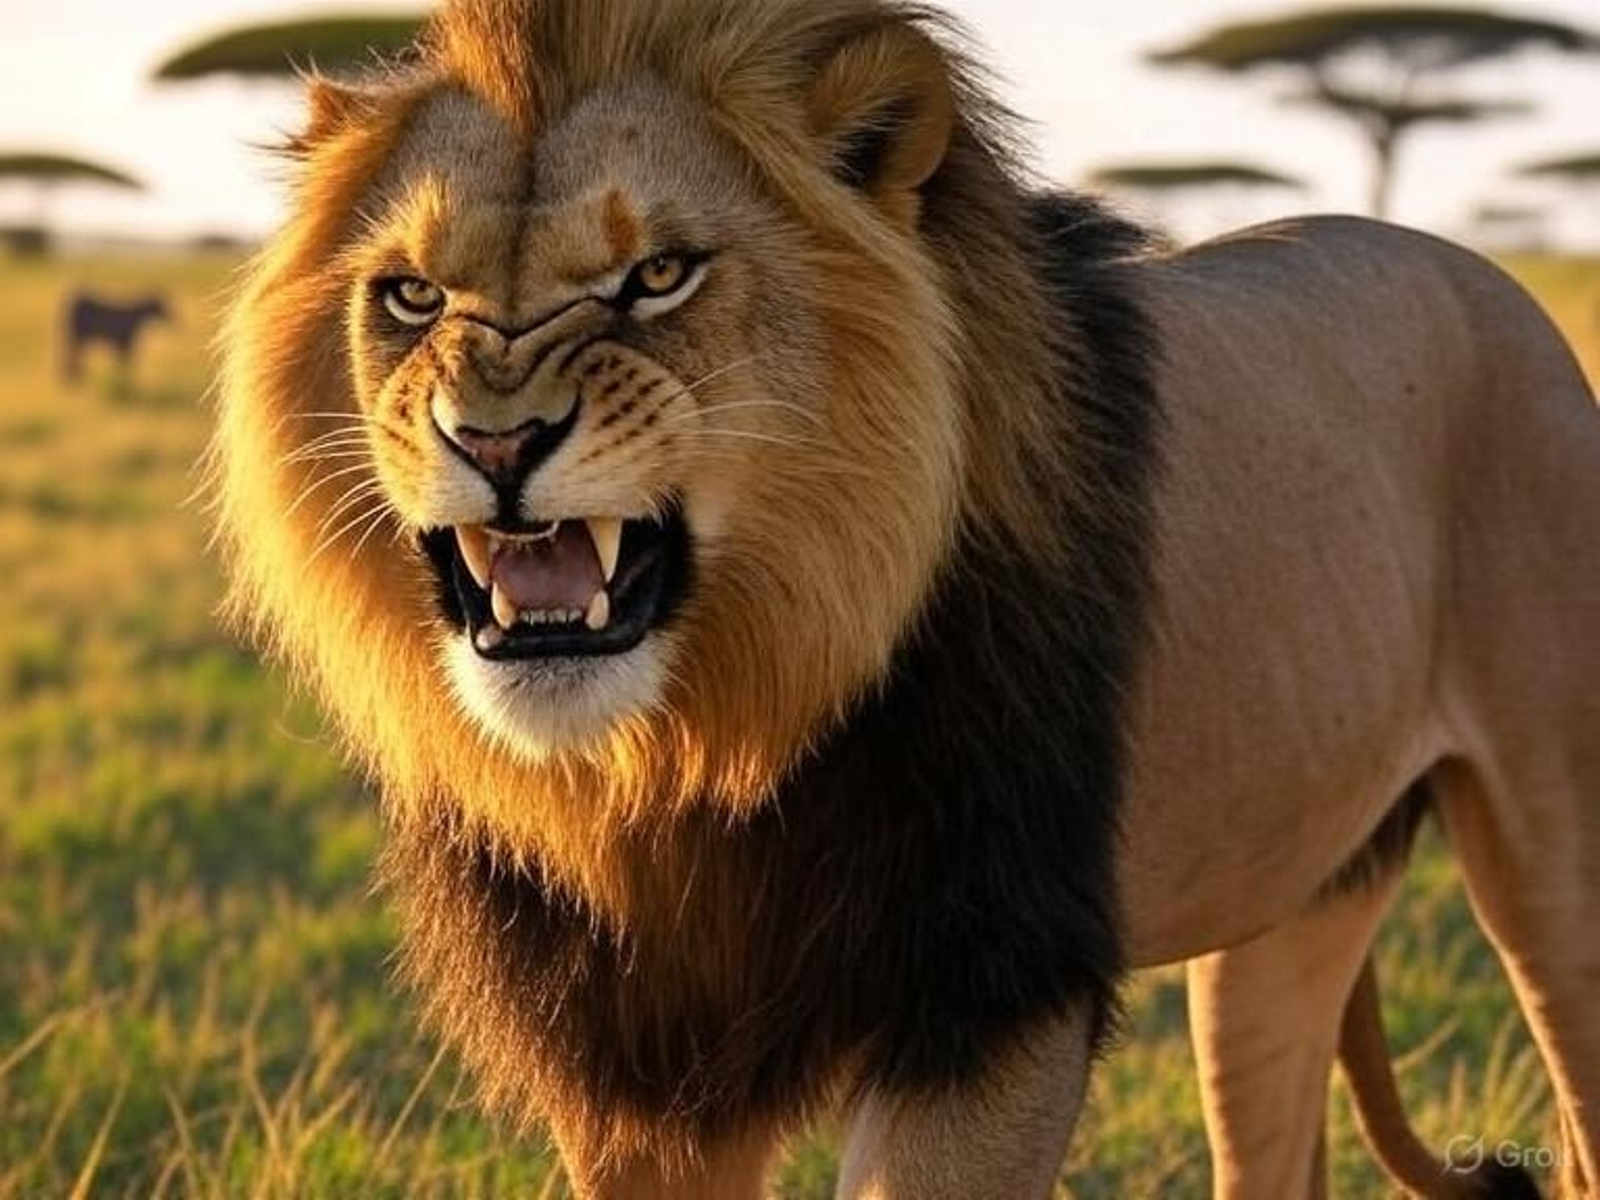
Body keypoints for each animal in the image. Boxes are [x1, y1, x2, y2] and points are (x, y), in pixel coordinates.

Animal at [212, 0, 1600, 1196]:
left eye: (658, 276)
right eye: (411, 295)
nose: (493, 441)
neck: (687, 756)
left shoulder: (988, 1004)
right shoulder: (632, 1061)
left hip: (1553, 860)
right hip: (1288, 898)